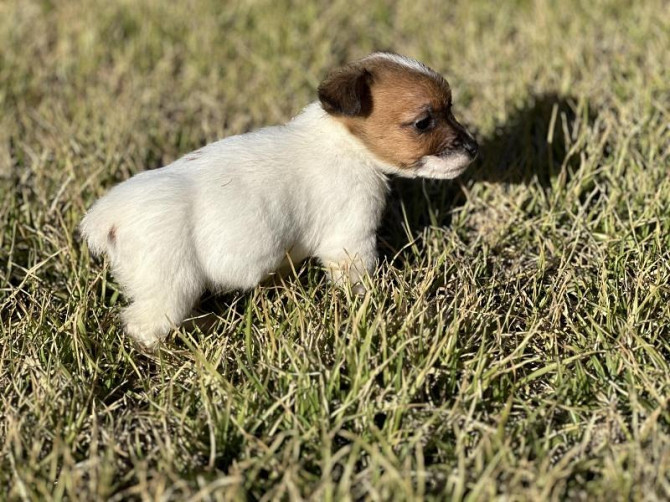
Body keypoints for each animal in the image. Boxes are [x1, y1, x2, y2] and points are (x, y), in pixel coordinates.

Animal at [80, 53, 478, 348]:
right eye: (424, 122)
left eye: (451, 109)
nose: (474, 149)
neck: (346, 143)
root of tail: (107, 218)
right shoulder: (350, 241)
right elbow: (359, 280)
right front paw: (372, 304)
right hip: (171, 286)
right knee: (143, 327)